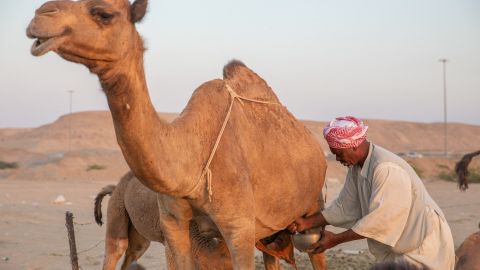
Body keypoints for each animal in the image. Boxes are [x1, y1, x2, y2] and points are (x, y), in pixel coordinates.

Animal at [26, 1, 326, 268]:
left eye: (104, 13)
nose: (40, 15)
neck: (193, 157)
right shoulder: (174, 225)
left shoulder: (239, 228)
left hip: (312, 208)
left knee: (315, 249)